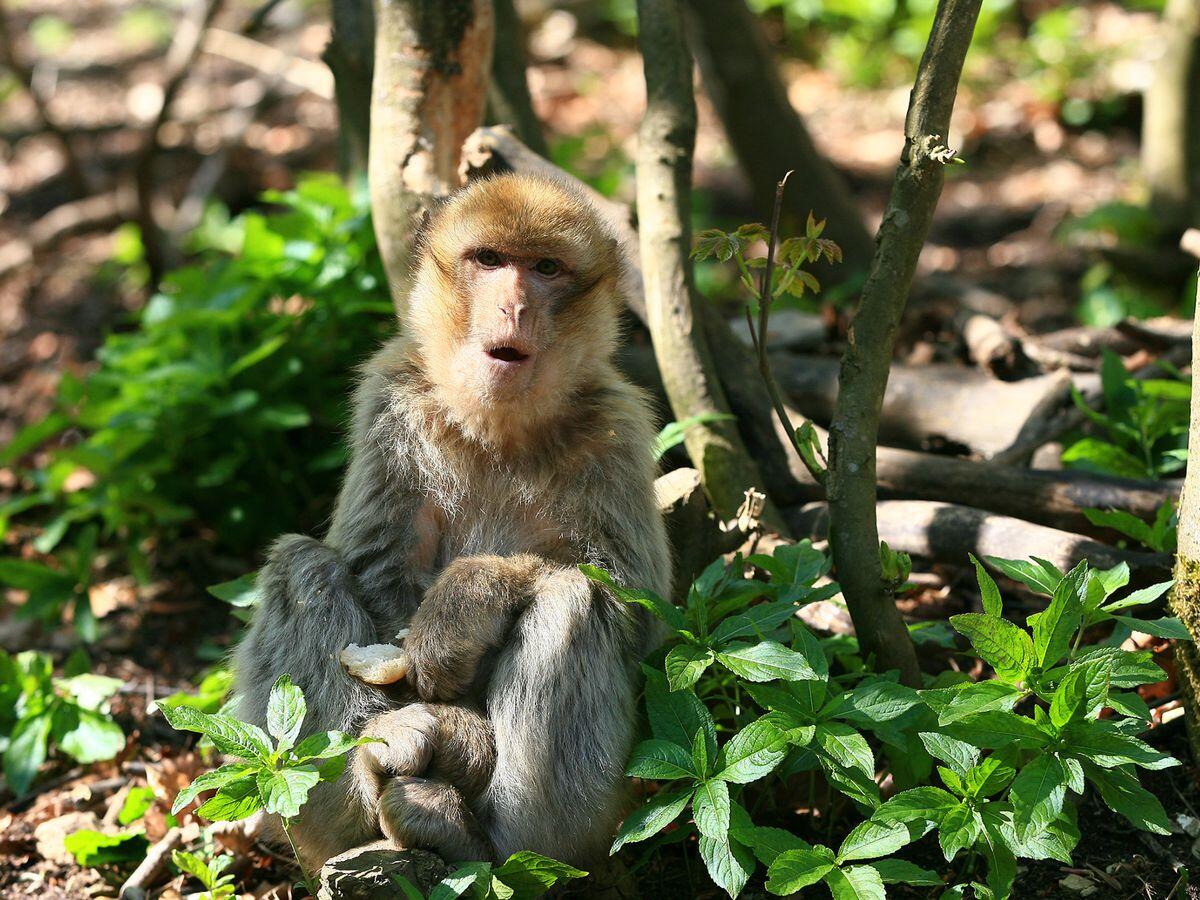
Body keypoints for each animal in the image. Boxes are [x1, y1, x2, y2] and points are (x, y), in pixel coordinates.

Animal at [229, 172, 672, 878]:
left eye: (545, 268)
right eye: (490, 260)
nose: (514, 306)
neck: (499, 429)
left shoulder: (619, 428)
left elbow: (636, 607)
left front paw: (465, 604)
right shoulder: (391, 398)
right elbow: (377, 578)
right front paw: (437, 731)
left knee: (572, 601)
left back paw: (488, 841)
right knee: (301, 566)